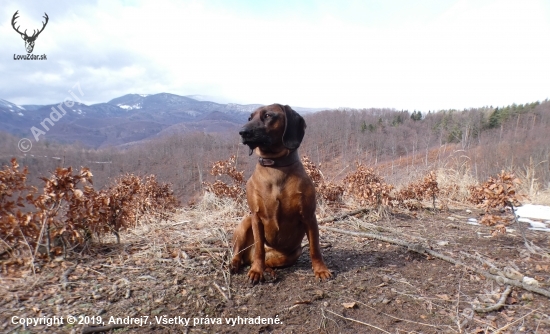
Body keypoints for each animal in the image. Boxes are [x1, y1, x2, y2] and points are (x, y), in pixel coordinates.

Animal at [232, 103, 332, 284]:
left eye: (268, 116)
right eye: (250, 118)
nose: (242, 132)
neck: (275, 166)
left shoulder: (309, 216)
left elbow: (315, 248)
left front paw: (321, 270)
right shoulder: (256, 217)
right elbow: (259, 249)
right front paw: (256, 271)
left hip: (293, 254)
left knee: (266, 262)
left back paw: (269, 271)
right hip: (245, 223)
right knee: (239, 253)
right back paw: (237, 264)